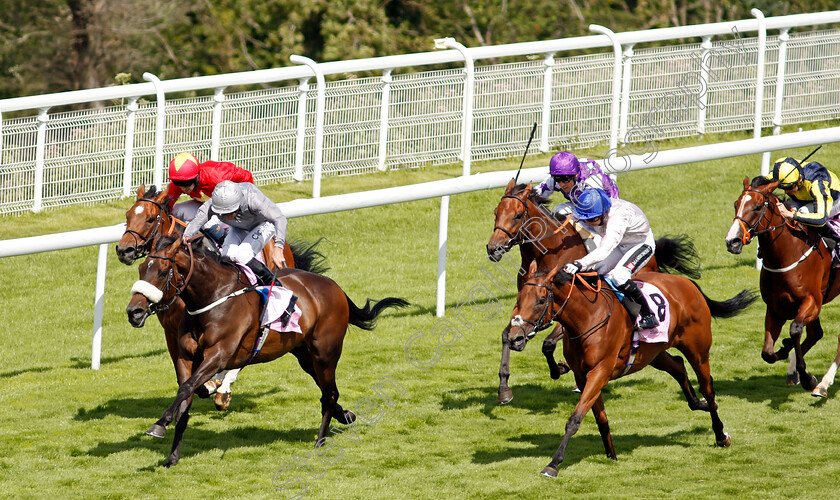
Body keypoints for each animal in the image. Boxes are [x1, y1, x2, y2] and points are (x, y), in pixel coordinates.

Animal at [125, 236, 410, 466]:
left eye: (163, 272)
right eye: (141, 268)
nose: (133, 312)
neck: (211, 299)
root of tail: (334, 286)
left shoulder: (218, 356)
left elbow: (186, 388)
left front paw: (159, 424)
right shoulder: (186, 358)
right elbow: (186, 397)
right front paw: (172, 456)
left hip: (325, 353)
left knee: (328, 394)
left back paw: (320, 441)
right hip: (304, 355)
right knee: (329, 391)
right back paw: (345, 415)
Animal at [508, 262, 756, 476]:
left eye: (541, 300)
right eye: (519, 297)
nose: (514, 338)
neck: (588, 318)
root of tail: (687, 283)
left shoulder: (600, 371)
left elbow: (575, 418)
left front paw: (553, 464)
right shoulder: (583, 376)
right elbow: (600, 418)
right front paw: (611, 455)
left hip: (698, 351)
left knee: (708, 388)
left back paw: (721, 434)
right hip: (653, 352)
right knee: (677, 366)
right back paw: (698, 403)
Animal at [724, 177, 840, 398]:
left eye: (757, 207)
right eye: (736, 204)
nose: (731, 241)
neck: (787, 254)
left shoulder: (812, 302)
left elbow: (795, 329)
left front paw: (808, 378)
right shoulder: (775, 308)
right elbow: (768, 353)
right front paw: (787, 354)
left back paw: (823, 384)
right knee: (816, 333)